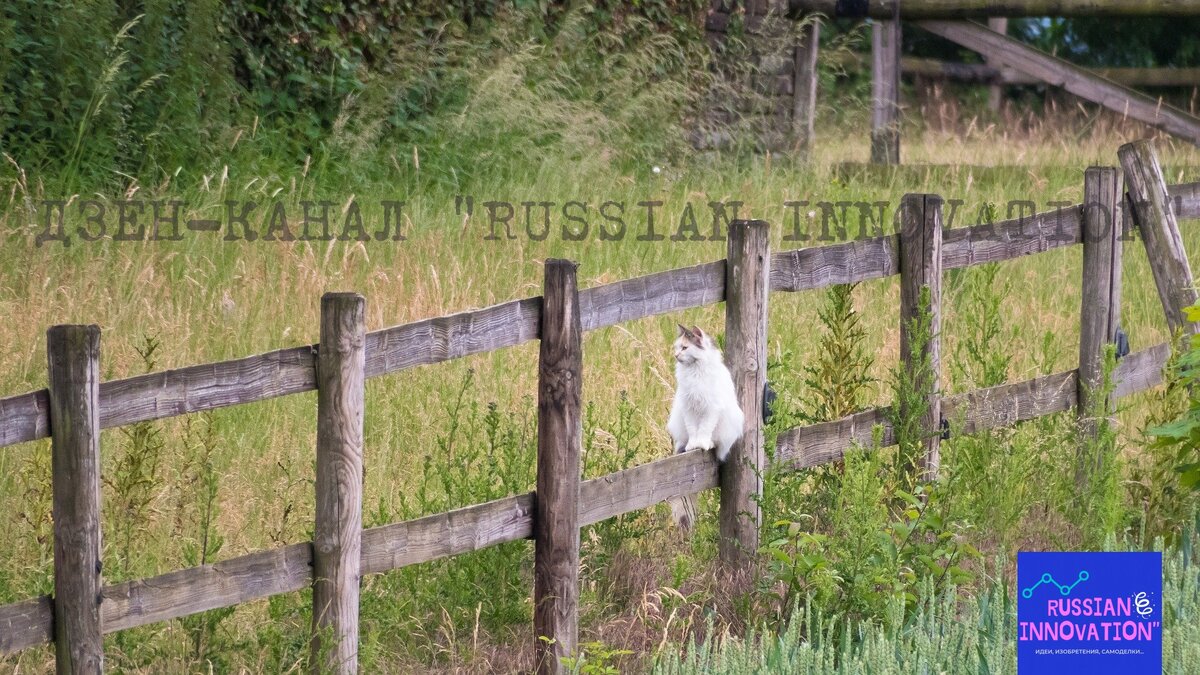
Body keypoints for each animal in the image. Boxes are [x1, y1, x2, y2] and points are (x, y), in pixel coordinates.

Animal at [667, 321, 739, 458]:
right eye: (676, 348)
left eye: (684, 348)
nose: (675, 355)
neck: (694, 371)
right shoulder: (689, 408)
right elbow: (692, 430)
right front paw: (692, 445)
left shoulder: (711, 408)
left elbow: (704, 429)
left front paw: (702, 444)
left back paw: (710, 443)